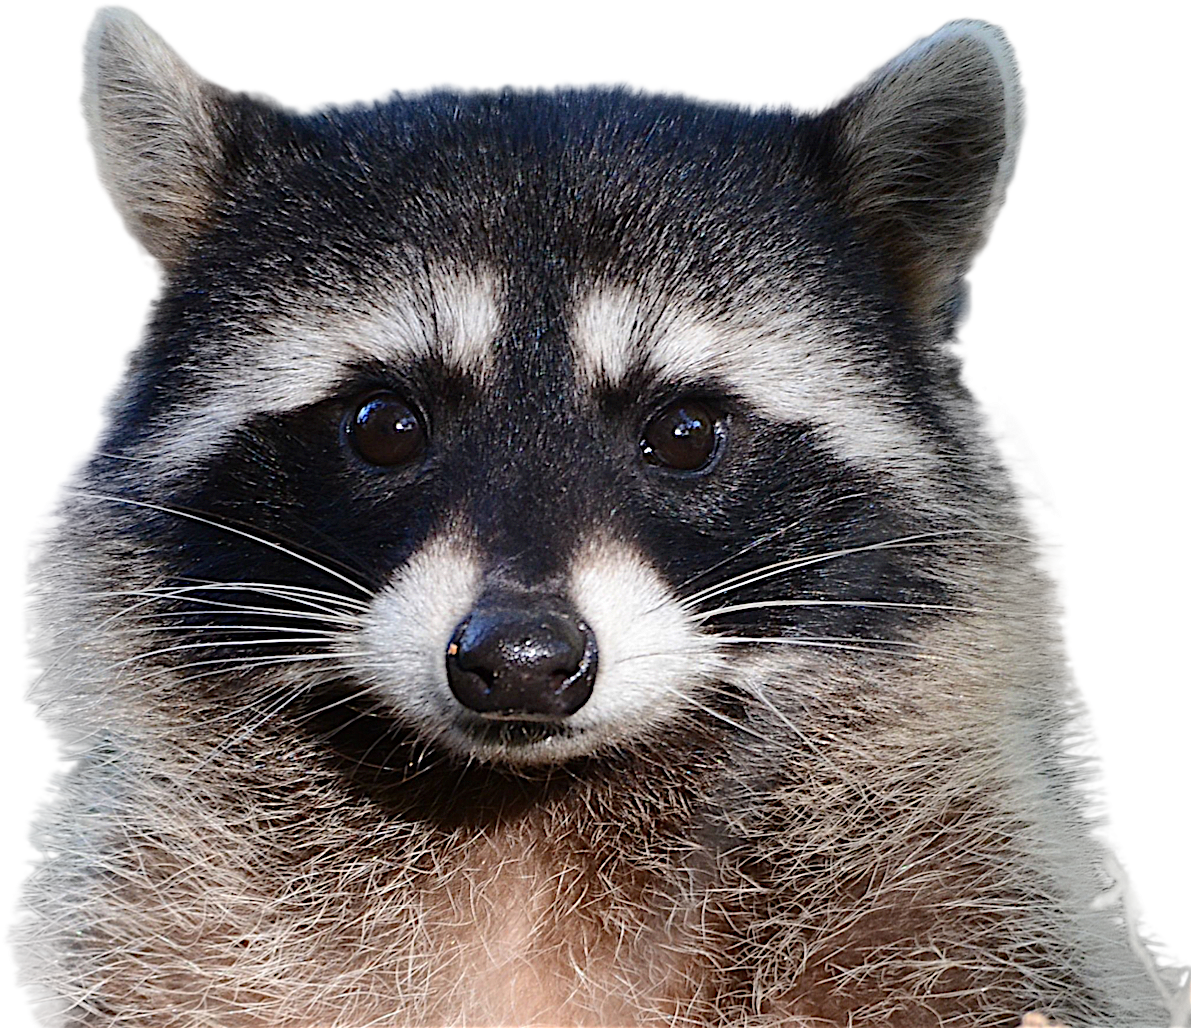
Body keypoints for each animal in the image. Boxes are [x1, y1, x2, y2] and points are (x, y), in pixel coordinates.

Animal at [7, 5, 1181, 1026]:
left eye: (685, 431)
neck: (526, 829)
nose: (522, 659)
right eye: (384, 423)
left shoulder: (961, 906)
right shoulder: (164, 930)